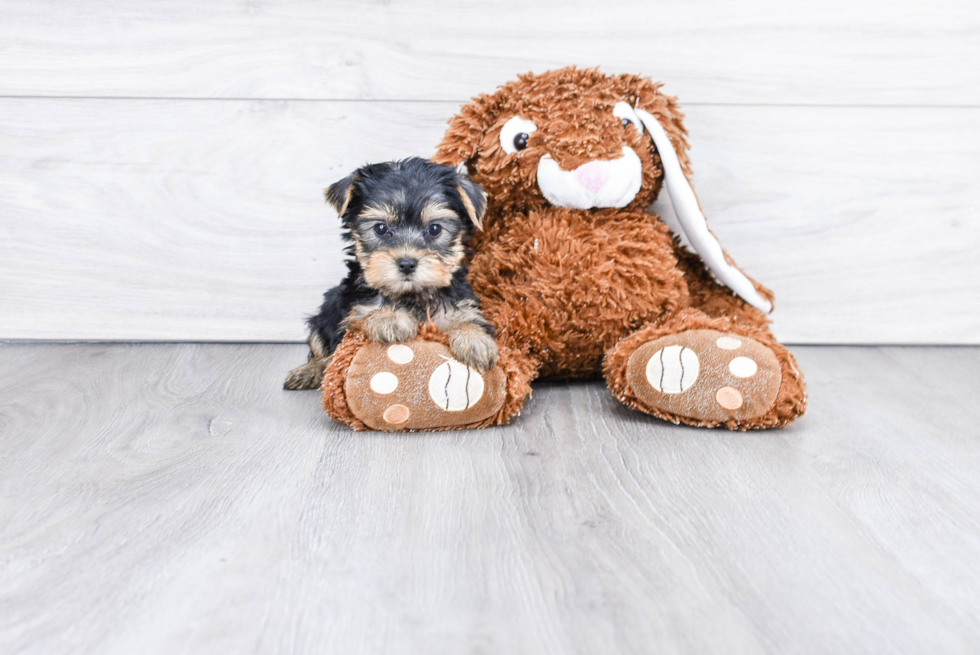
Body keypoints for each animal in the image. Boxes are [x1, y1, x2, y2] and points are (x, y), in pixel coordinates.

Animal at [284, 157, 498, 392]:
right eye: (380, 228)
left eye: (434, 229)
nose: (407, 263)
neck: (412, 295)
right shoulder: (351, 311)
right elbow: (365, 313)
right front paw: (390, 318)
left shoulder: (458, 305)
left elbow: (467, 319)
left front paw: (475, 340)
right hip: (325, 311)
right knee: (319, 345)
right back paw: (309, 371)